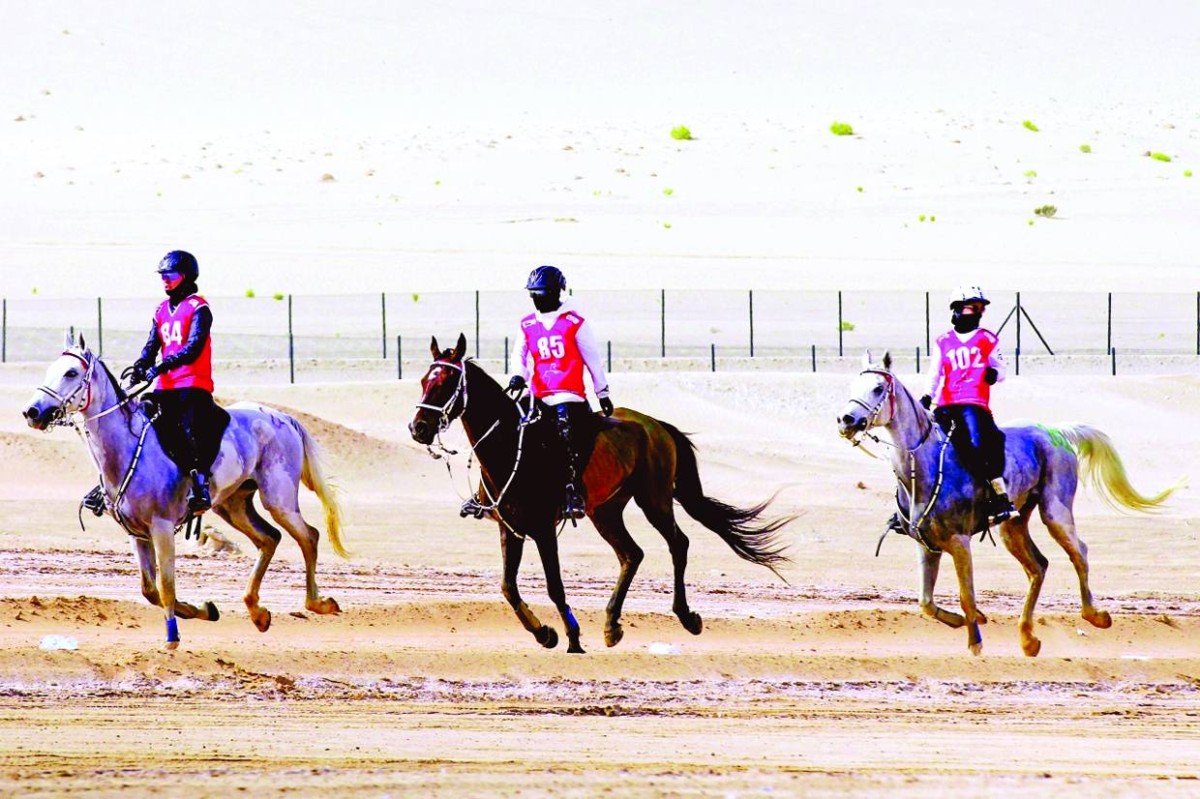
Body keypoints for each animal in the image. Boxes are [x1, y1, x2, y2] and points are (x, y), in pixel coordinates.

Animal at [23, 328, 348, 647]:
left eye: (71, 372)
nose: (32, 412)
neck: (127, 448)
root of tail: (284, 418)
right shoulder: (137, 534)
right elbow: (150, 590)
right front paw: (203, 610)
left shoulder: (162, 528)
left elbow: (166, 586)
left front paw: (172, 637)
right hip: (232, 506)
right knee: (269, 538)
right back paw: (257, 612)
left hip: (278, 500)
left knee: (309, 536)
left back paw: (319, 603)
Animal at [408, 333, 792, 652]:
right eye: (424, 381)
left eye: (446, 383)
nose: (419, 427)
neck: (512, 448)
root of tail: (657, 425)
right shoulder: (510, 529)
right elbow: (508, 587)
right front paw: (544, 633)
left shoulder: (544, 529)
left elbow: (554, 586)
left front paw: (572, 637)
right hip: (604, 511)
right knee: (631, 554)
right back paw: (611, 625)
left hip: (653, 500)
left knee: (677, 544)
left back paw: (686, 616)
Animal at [840, 347, 1176, 652]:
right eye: (852, 387)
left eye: (878, 388)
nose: (846, 419)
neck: (923, 466)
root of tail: (1056, 431)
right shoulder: (928, 546)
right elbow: (926, 602)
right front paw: (969, 620)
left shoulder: (959, 542)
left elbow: (966, 595)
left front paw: (975, 641)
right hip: (1011, 526)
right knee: (1038, 566)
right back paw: (1028, 639)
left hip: (1055, 512)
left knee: (1079, 552)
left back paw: (1095, 615)